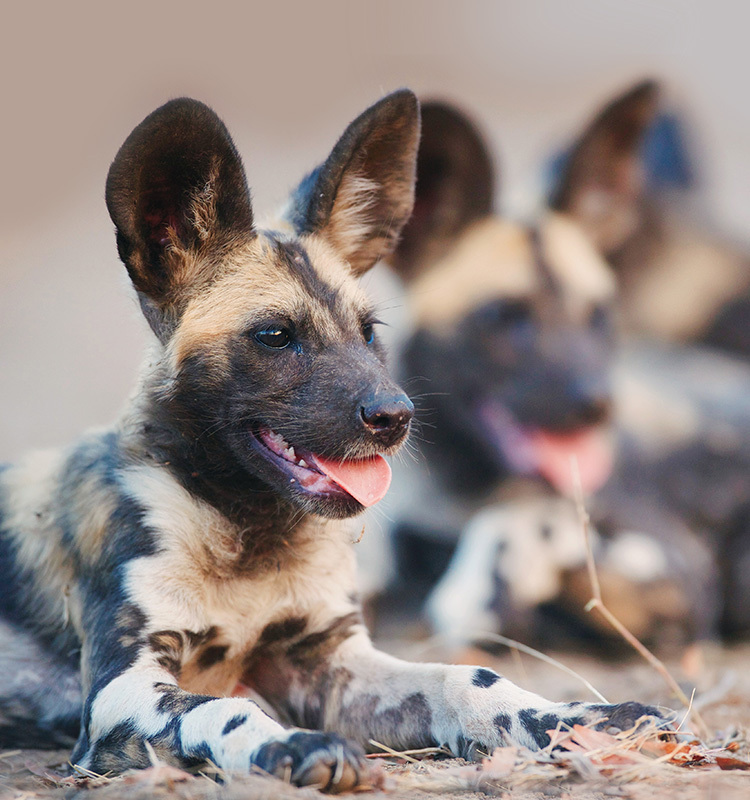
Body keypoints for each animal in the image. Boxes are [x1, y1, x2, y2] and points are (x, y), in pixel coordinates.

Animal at [1, 90, 668, 792]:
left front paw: (578, 720)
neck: (250, 539)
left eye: (369, 332)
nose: (396, 416)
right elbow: (223, 708)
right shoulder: (116, 697)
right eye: (274, 336)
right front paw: (290, 744)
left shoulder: (331, 662)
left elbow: (468, 676)